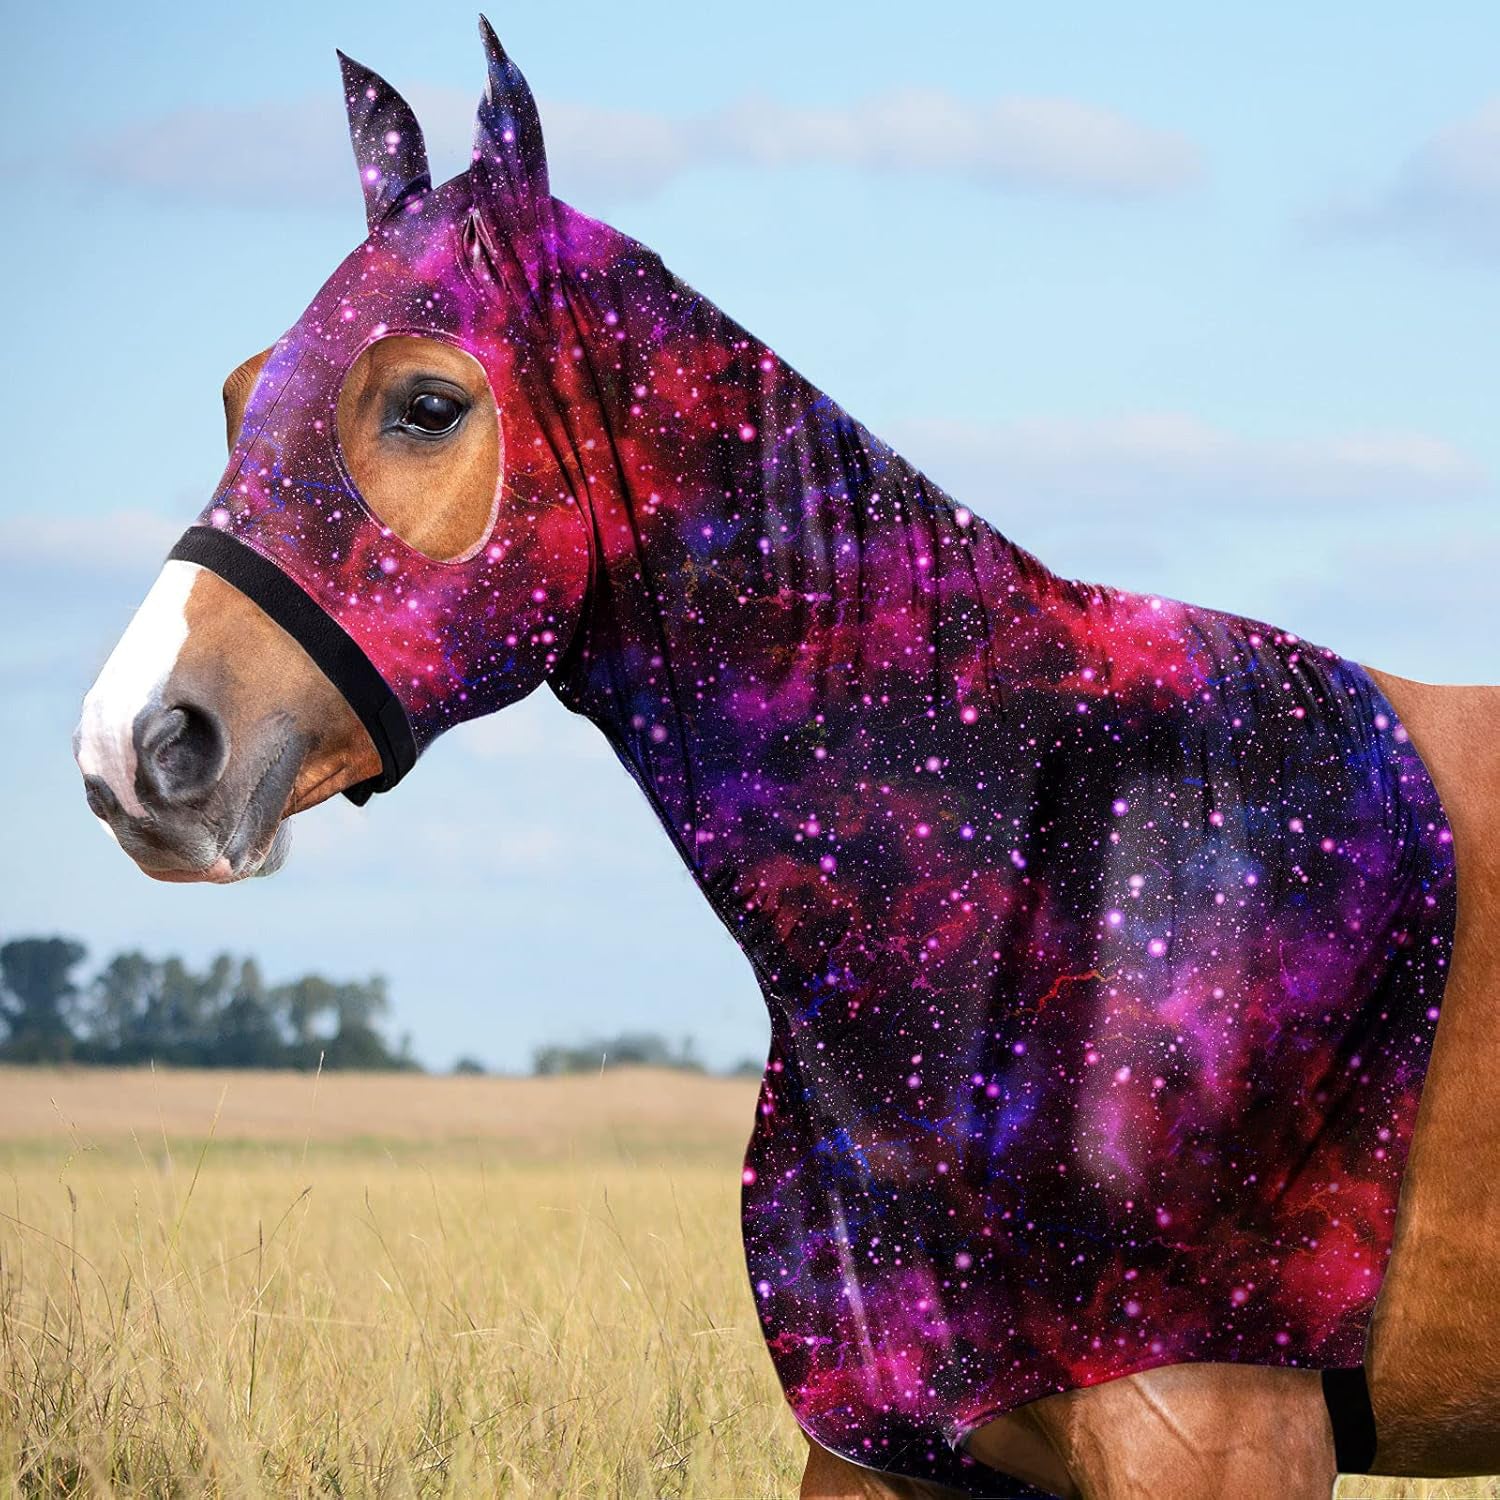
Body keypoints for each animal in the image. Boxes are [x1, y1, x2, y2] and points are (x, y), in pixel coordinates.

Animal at [72, 21, 1500, 1499]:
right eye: (238, 394)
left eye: (425, 403)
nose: (138, 743)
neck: (1045, 850)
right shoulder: (880, 1451)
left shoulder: (1216, 1440)